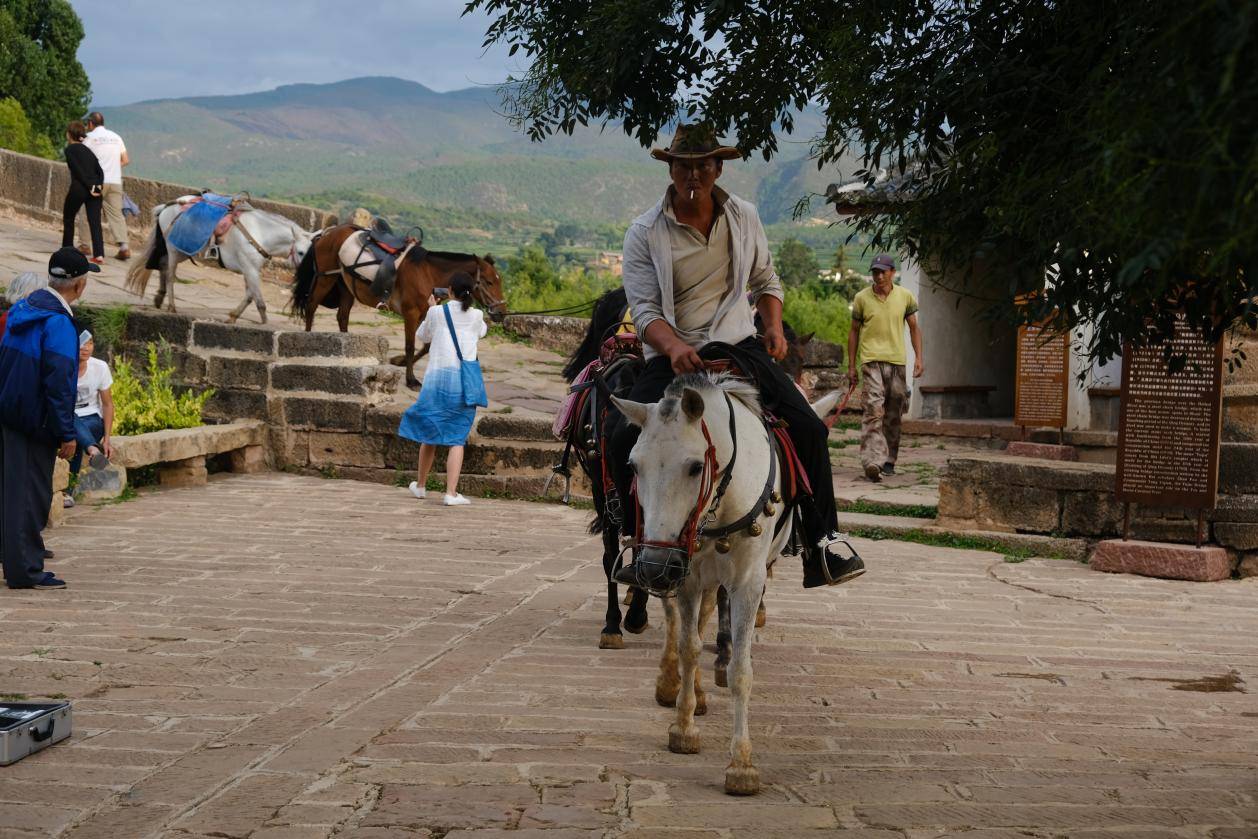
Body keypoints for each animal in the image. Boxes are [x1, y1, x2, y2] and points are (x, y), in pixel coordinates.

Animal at [125, 197, 314, 324]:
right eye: (300, 252)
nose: (309, 274)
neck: (260, 233)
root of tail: (166, 207)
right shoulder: (250, 269)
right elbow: (258, 300)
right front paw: (264, 323)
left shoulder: (250, 269)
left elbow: (250, 296)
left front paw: (233, 316)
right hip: (174, 248)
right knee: (170, 275)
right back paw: (171, 306)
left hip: (183, 251)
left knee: (163, 266)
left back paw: (159, 297)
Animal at [291, 226, 508, 389]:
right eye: (489, 282)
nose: (501, 312)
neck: (427, 273)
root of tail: (326, 234)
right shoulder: (410, 313)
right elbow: (410, 346)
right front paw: (410, 379)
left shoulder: (425, 314)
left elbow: (426, 346)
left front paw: (399, 361)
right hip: (326, 278)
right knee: (311, 307)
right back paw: (306, 341)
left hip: (345, 286)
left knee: (342, 316)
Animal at [611, 374, 845, 800]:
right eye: (633, 465)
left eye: (695, 466)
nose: (653, 567)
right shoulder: (685, 573)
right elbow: (688, 647)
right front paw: (684, 727)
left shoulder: (747, 582)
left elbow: (740, 669)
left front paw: (741, 764)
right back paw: (677, 685)